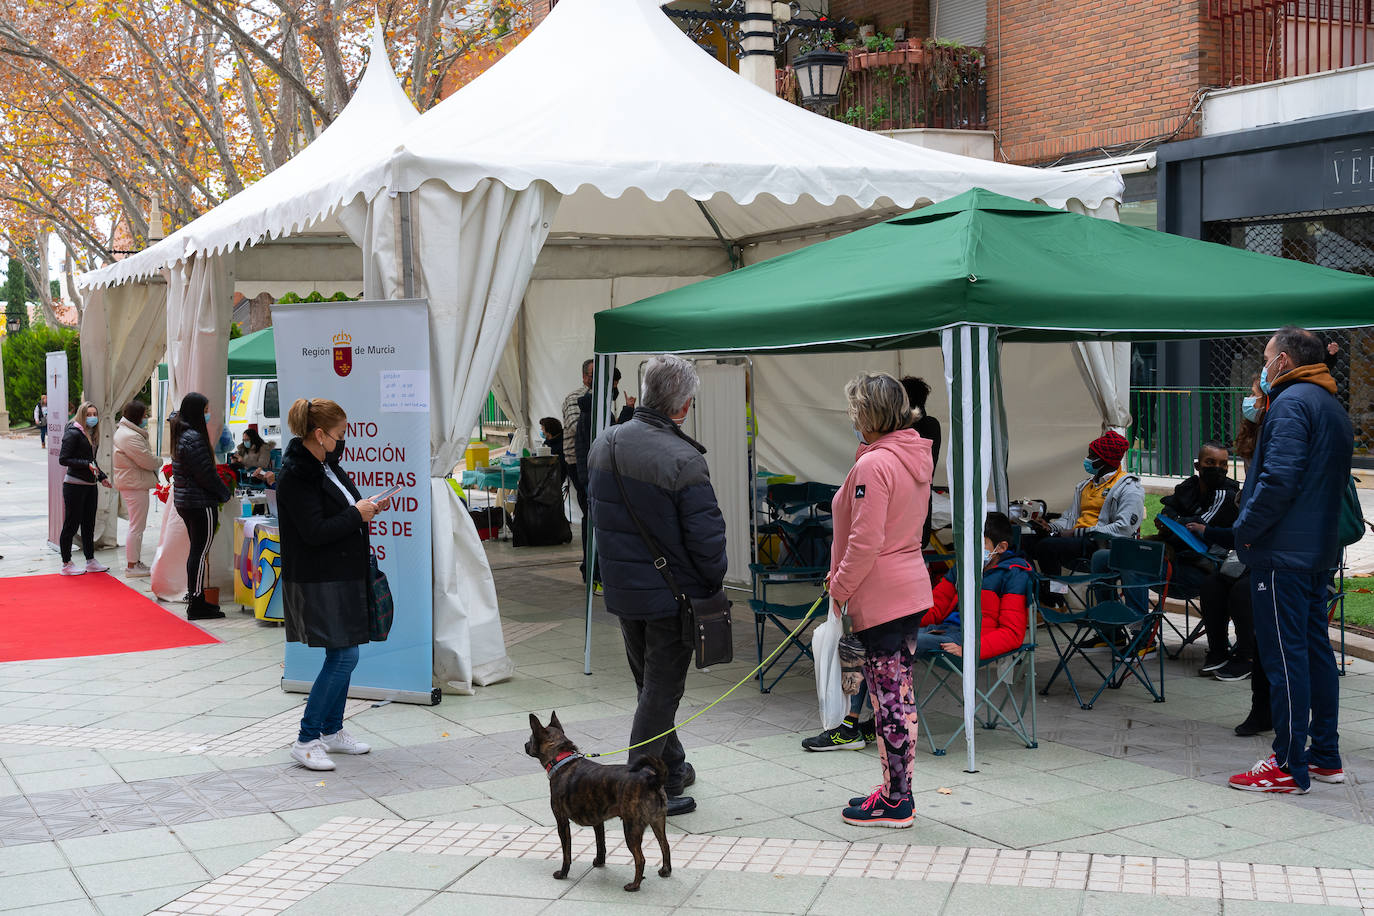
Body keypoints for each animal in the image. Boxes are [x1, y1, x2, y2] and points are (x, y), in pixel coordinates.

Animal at [522, 714, 673, 889]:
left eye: (530, 739)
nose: (525, 745)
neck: (562, 761)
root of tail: (651, 780)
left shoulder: (562, 822)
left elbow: (567, 853)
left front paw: (563, 873)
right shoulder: (598, 820)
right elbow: (600, 843)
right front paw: (600, 862)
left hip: (631, 829)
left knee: (640, 859)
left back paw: (634, 885)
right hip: (657, 822)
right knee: (665, 845)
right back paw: (665, 870)